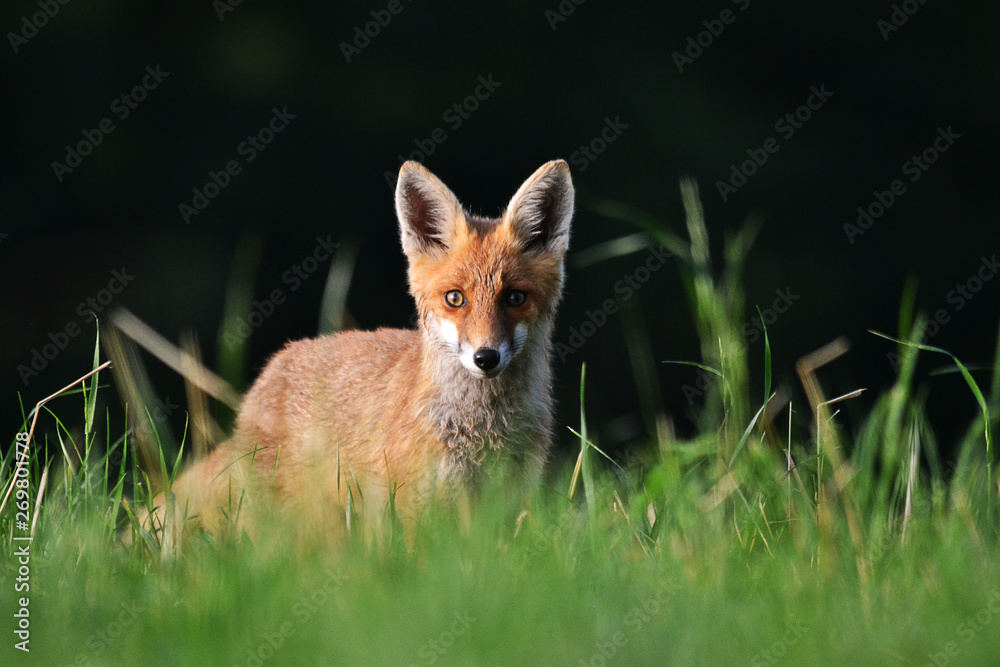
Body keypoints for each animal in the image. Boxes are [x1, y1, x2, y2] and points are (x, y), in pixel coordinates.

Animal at [146, 159, 575, 548]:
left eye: (515, 298)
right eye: (455, 298)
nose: (486, 358)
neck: (484, 429)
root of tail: (264, 381)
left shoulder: (510, 498)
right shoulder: (417, 505)